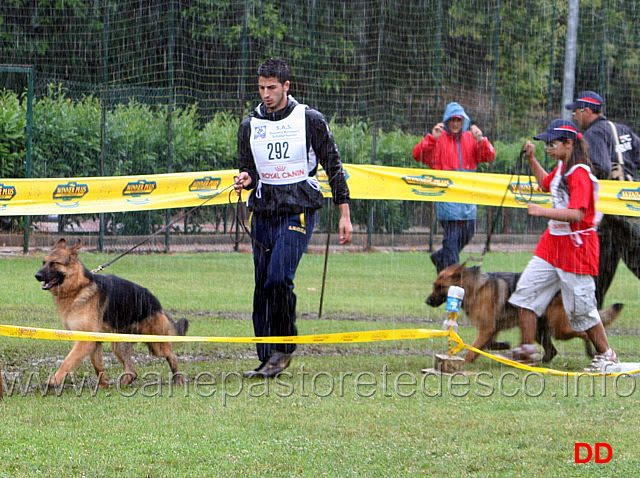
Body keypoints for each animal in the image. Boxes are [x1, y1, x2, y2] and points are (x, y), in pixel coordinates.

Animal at [35, 239, 189, 388]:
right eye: (44, 262)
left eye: (55, 263)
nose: (37, 276)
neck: (78, 288)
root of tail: (156, 302)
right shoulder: (94, 341)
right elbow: (98, 366)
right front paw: (103, 385)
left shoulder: (85, 340)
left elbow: (68, 361)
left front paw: (54, 381)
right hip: (119, 345)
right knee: (132, 371)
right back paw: (124, 384)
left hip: (156, 344)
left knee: (170, 354)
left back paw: (178, 378)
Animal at [424, 262, 624, 362]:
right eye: (434, 285)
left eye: (440, 287)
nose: (427, 301)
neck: (474, 288)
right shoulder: (491, 330)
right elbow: (487, 345)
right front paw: (503, 345)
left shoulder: (487, 329)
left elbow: (473, 350)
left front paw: (464, 362)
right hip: (538, 330)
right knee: (552, 351)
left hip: (559, 329)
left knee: (585, 333)